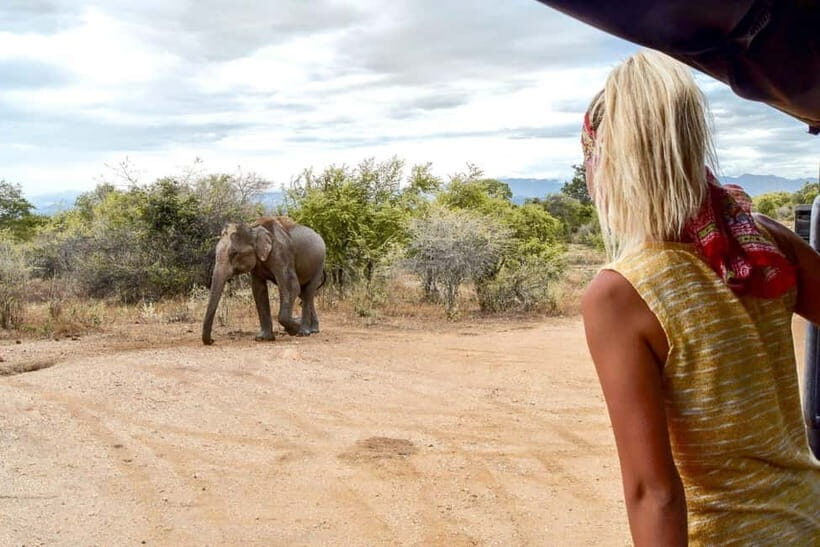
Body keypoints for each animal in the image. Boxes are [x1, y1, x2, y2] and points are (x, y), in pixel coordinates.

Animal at [202, 216, 326, 345]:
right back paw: (313, 330)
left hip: (319, 264)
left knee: (308, 292)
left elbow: (291, 287)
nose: (212, 340)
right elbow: (258, 290)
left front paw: (294, 327)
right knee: (304, 294)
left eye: (234, 253)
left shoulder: (280, 252)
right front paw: (263, 338)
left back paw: (303, 332)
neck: (253, 229)